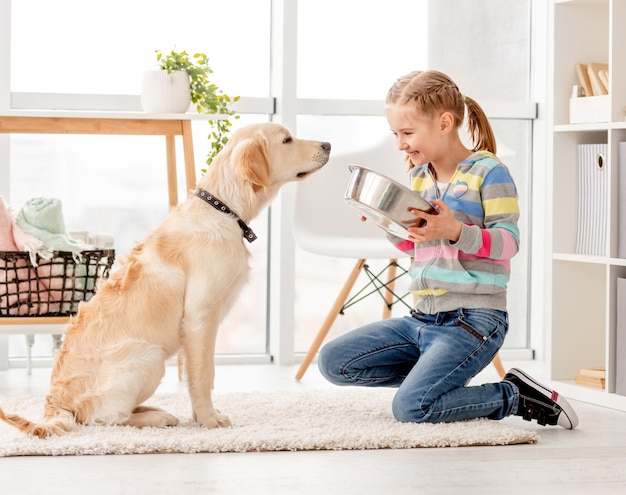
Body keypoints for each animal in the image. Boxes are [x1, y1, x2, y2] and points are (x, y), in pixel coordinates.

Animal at [0, 123, 330, 438]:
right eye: (286, 140)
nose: (327, 144)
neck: (221, 209)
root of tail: (55, 400)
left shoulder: (195, 328)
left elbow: (198, 374)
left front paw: (200, 416)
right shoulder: (200, 317)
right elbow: (205, 374)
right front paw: (209, 421)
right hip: (149, 356)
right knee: (105, 419)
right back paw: (157, 418)